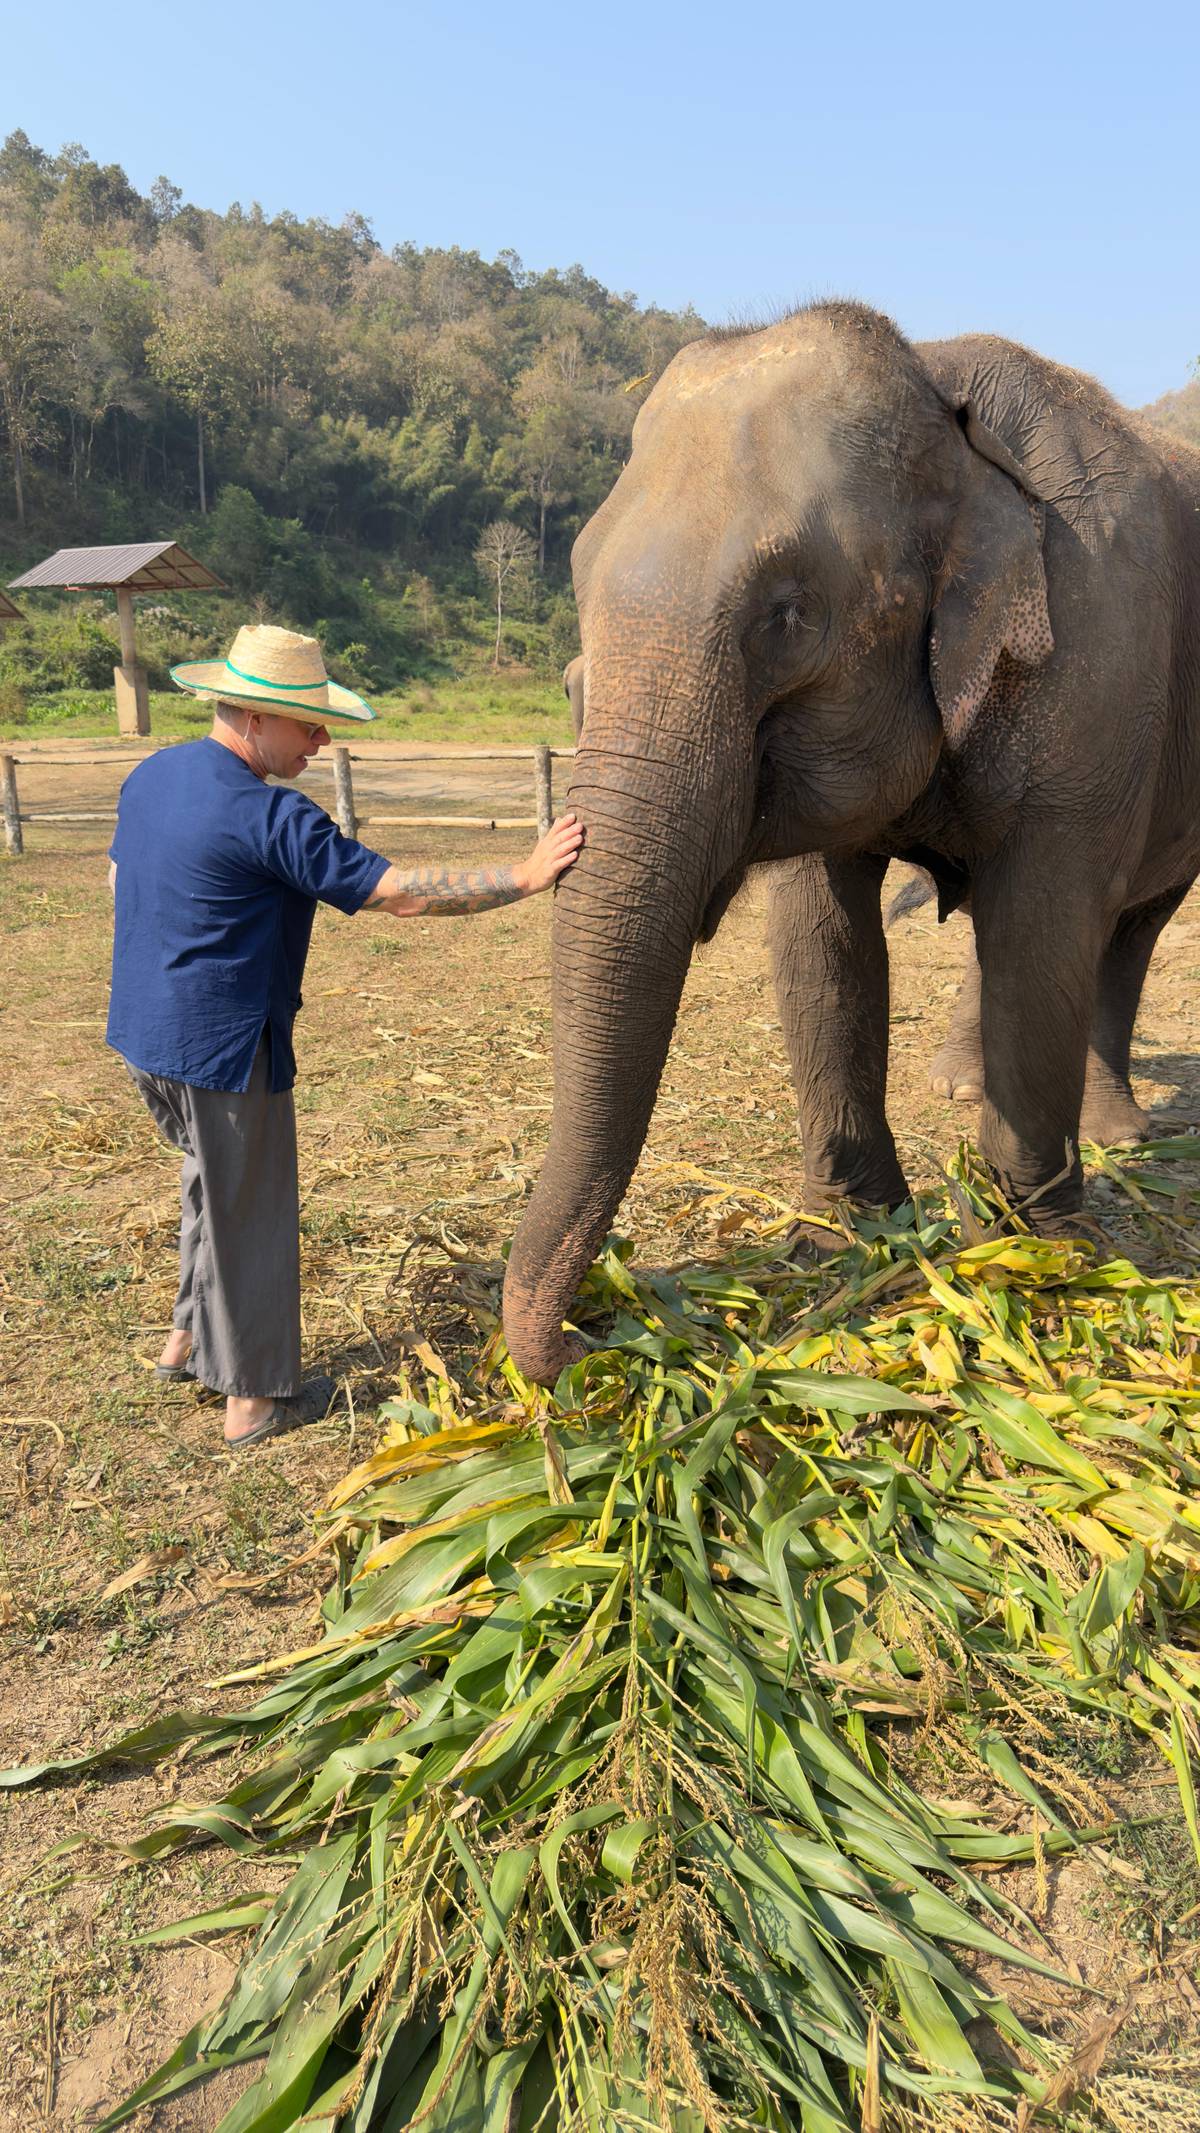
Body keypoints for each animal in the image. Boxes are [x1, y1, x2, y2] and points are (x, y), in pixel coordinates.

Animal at [503, 301, 1200, 1383]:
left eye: (788, 614)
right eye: (576, 576)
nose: (584, 1338)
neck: (941, 404)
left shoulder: (1096, 661)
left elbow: (1043, 925)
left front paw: (1036, 1256)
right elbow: (823, 938)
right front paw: (844, 1239)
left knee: (1127, 925)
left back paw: (1119, 1133)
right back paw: (966, 1086)